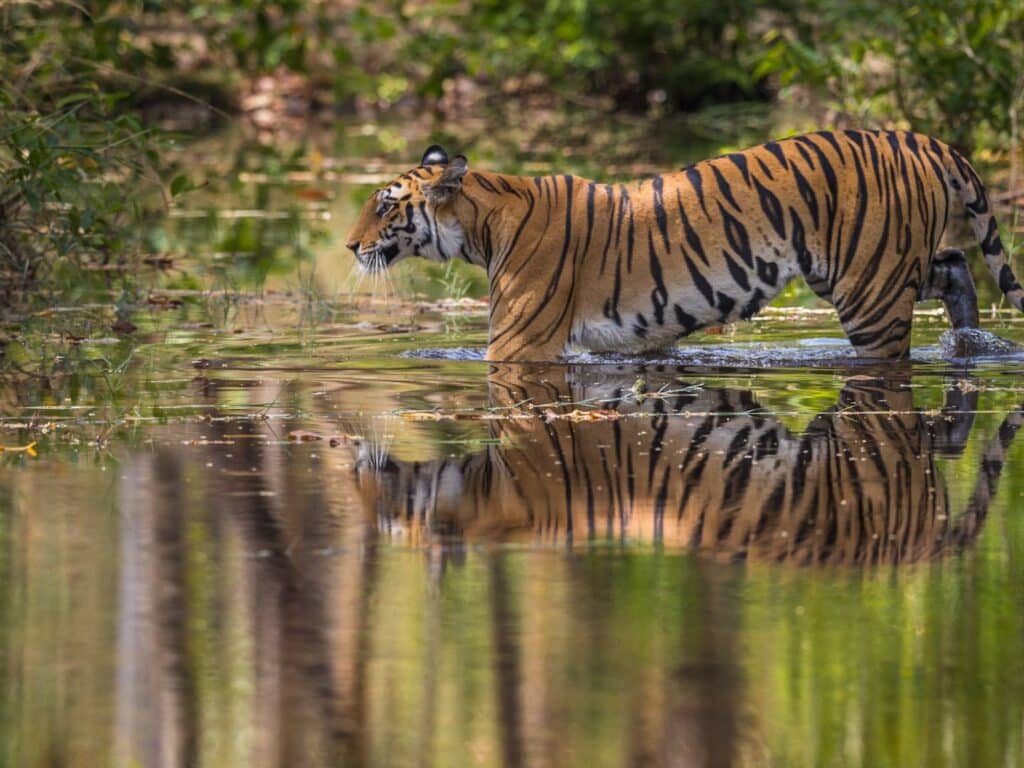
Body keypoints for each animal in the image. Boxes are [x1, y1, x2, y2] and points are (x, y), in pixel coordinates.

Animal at [345, 131, 1020, 361]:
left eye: (384, 205)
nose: (350, 247)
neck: (483, 224)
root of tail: (920, 138)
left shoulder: (519, 344)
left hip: (870, 290)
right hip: (877, 265)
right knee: (955, 265)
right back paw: (969, 339)